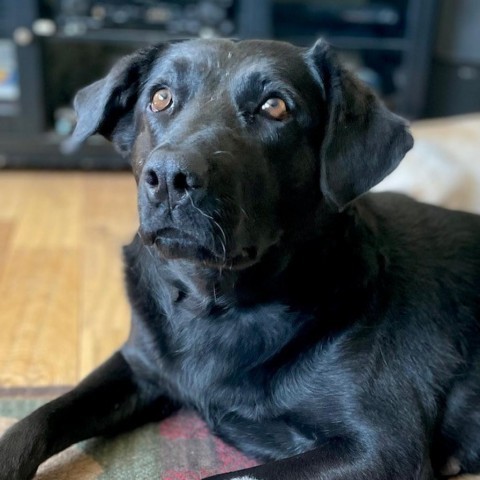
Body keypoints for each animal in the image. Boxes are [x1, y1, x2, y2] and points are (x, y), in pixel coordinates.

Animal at [0, 38, 480, 480]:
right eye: (160, 98)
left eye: (275, 107)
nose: (169, 177)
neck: (215, 306)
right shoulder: (139, 366)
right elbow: (38, 418)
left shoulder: (384, 446)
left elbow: (228, 477)